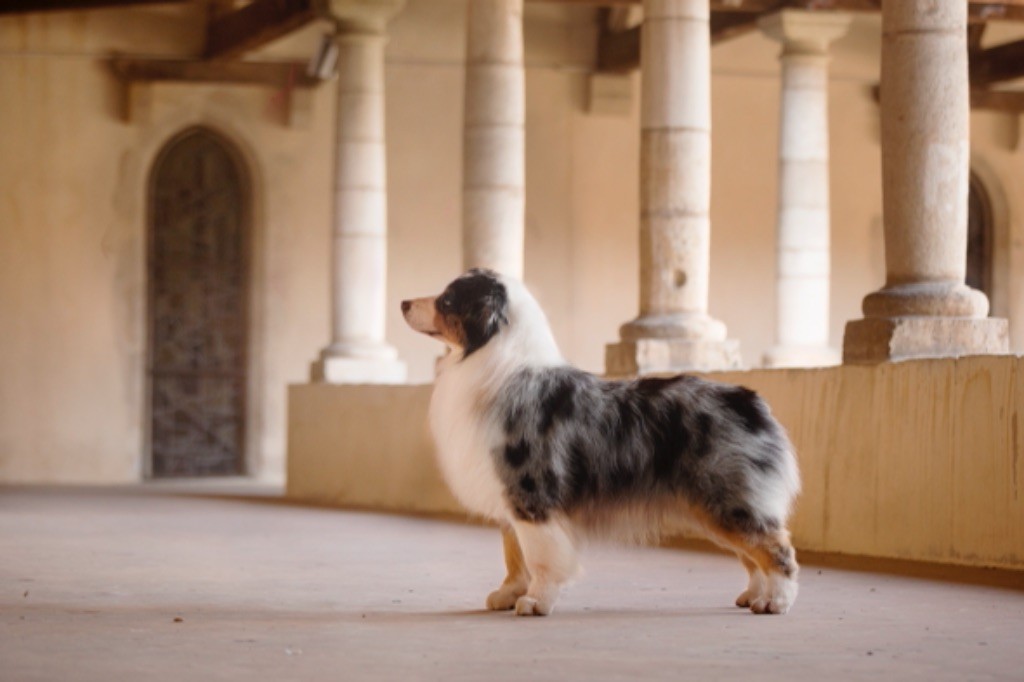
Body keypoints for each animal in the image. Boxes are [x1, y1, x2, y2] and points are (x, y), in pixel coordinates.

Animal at [399, 266, 798, 614]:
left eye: (447, 300)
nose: (402, 302)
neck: (492, 360)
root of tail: (749, 400)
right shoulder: (510, 497)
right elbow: (513, 554)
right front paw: (509, 594)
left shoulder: (530, 492)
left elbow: (539, 558)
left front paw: (536, 602)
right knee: (751, 556)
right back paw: (752, 595)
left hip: (728, 500)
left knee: (775, 548)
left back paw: (775, 601)